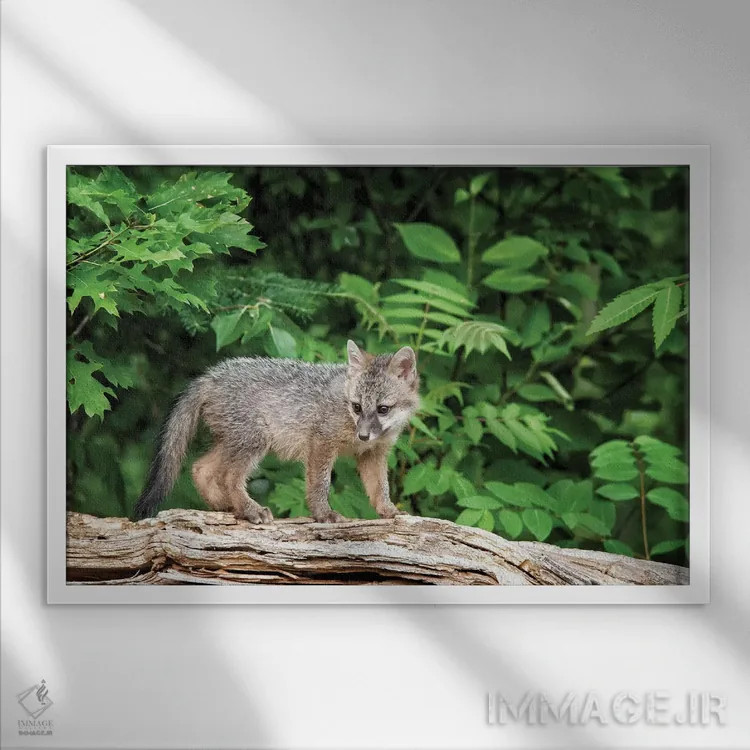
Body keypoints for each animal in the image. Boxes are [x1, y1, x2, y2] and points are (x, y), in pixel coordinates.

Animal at [133, 340, 420, 523]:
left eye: (383, 409)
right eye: (357, 407)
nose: (363, 435)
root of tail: (211, 374)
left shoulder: (373, 453)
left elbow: (380, 488)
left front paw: (390, 511)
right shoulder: (321, 443)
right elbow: (320, 484)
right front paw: (323, 514)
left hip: (235, 442)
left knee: (200, 468)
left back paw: (228, 506)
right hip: (255, 441)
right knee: (228, 477)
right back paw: (250, 510)